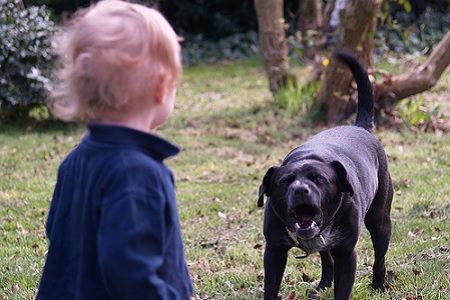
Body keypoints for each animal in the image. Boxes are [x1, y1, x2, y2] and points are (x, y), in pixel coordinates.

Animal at [258, 50, 392, 298]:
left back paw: (378, 286)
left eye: (318, 178)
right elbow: (271, 288)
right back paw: (322, 286)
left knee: (380, 258)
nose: (300, 190)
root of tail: (360, 127)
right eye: (285, 181)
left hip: (380, 221)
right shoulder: (274, 251)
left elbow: (343, 289)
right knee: (326, 260)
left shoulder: (347, 254)